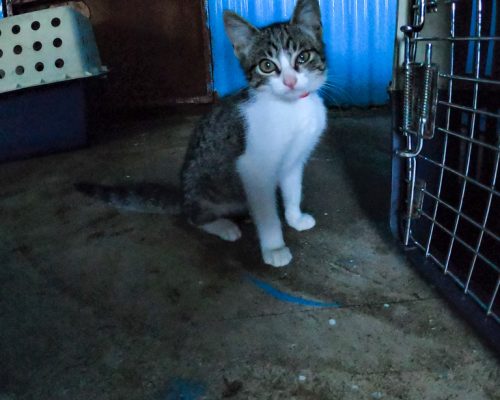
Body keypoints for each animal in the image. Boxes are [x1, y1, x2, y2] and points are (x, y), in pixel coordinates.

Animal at [77, 0, 328, 268]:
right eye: (267, 66)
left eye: (303, 56)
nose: (290, 82)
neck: (292, 108)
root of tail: (183, 196)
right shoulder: (253, 167)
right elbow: (267, 214)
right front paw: (274, 247)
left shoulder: (295, 159)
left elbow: (293, 189)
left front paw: (295, 217)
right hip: (204, 191)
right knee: (193, 217)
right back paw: (223, 225)